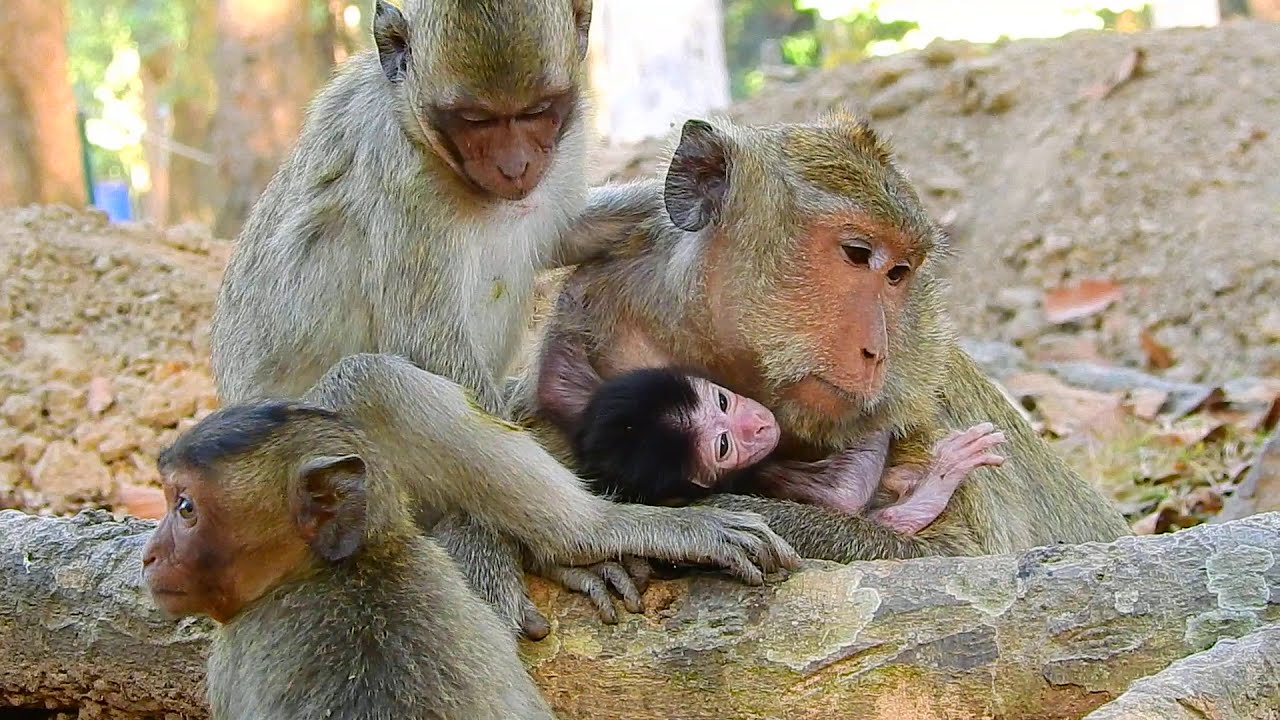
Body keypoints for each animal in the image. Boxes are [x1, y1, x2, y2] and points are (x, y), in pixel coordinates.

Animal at [207, 0, 798, 640]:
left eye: (537, 112)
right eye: (475, 120)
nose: (515, 166)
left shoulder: (561, 148)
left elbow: (564, 231)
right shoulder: (397, 172)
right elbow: (431, 349)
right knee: (372, 382)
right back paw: (595, 533)